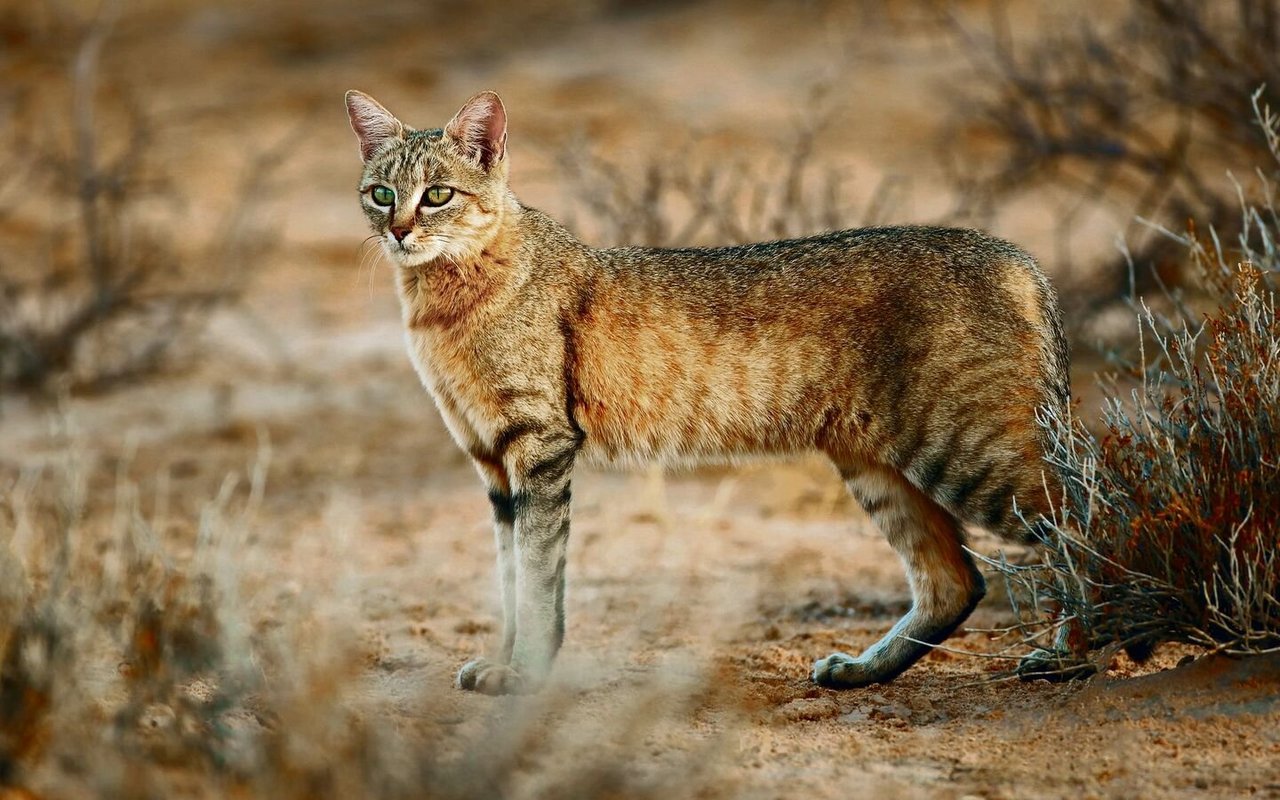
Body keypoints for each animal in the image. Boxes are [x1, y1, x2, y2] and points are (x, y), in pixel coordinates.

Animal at [348, 90, 1070, 696]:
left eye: (438, 194)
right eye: (381, 193)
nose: (399, 230)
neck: (441, 302)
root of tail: (1018, 258)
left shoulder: (540, 446)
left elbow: (535, 575)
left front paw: (526, 671)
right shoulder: (492, 460)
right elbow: (507, 579)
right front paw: (505, 660)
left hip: (969, 453)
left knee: (1078, 518)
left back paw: (1071, 656)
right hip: (877, 464)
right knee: (955, 581)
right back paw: (863, 671)